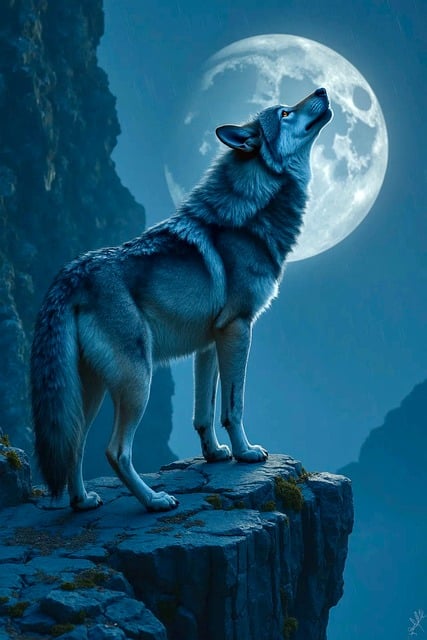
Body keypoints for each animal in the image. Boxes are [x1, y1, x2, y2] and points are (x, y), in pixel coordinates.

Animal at [31, 88, 332, 512]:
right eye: (285, 113)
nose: (322, 90)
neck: (251, 213)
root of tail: (71, 274)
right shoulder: (239, 329)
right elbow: (234, 406)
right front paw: (245, 452)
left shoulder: (209, 343)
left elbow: (203, 412)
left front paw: (215, 454)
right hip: (138, 382)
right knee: (115, 451)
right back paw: (154, 500)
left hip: (92, 391)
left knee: (75, 444)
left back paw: (83, 501)